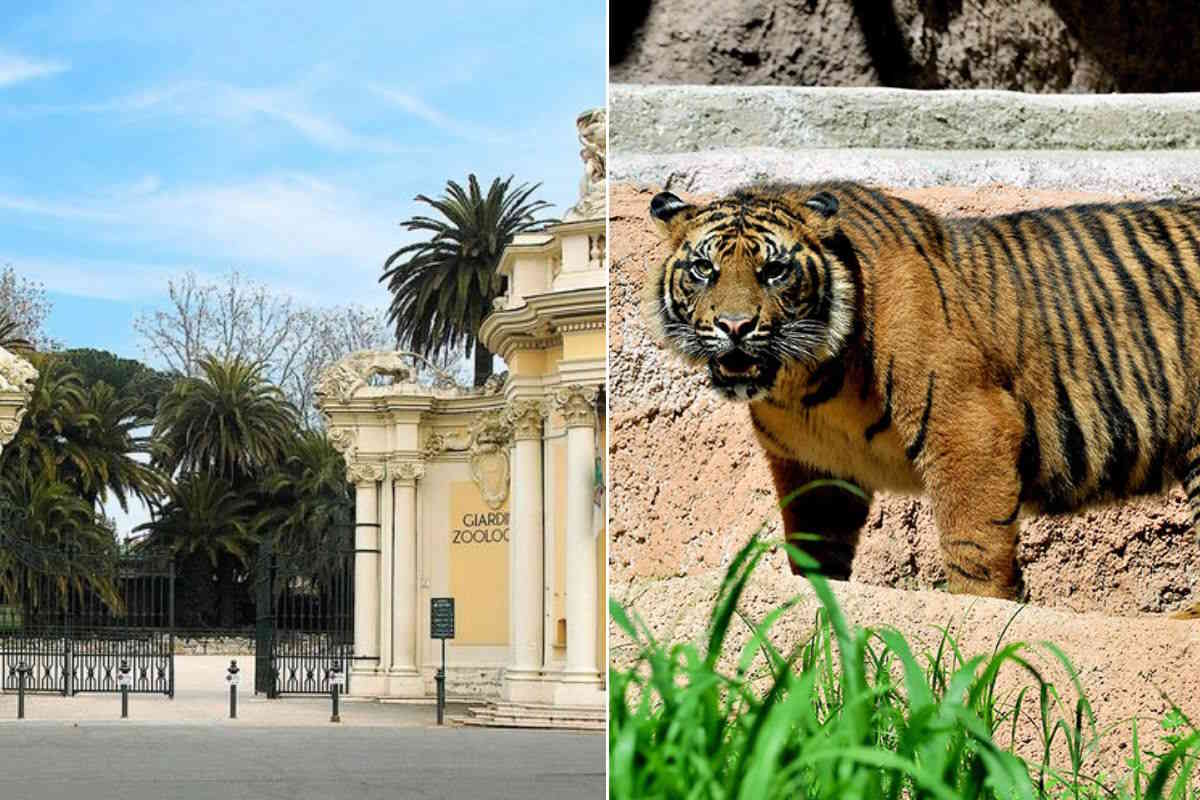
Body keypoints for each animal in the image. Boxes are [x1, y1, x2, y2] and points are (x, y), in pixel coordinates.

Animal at [645, 181, 1200, 617]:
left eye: (775, 271)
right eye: (703, 269)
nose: (735, 326)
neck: (804, 383)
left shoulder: (969, 427)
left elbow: (973, 543)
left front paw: (981, 622)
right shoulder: (813, 467)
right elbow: (812, 552)